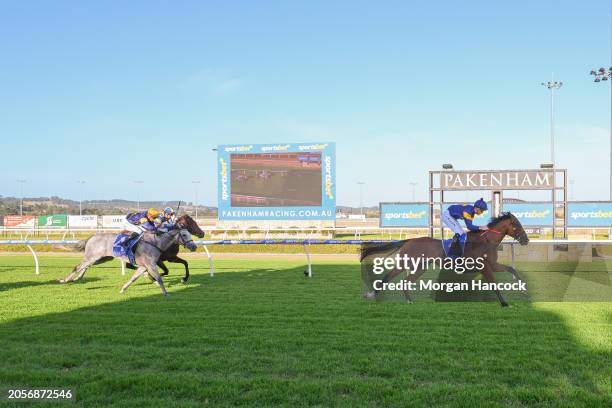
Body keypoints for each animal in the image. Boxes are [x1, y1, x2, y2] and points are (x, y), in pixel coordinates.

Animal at [59, 226, 196, 296]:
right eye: (184, 235)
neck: (155, 243)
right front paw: (166, 293)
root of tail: (92, 237)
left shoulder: (144, 266)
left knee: (85, 266)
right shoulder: (151, 265)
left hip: (101, 258)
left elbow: (133, 278)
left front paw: (123, 289)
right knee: (78, 267)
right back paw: (64, 280)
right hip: (93, 257)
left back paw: (78, 278)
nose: (194, 246)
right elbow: (159, 278)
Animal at [360, 214, 528, 306]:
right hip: (406, 263)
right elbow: (494, 285)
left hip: (421, 267)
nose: (526, 240)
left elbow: (512, 269)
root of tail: (409, 240)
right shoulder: (485, 267)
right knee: (388, 276)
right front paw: (504, 303)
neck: (486, 241)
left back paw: (409, 301)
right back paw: (371, 295)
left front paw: (523, 291)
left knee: (405, 281)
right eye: (517, 225)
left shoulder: (493, 265)